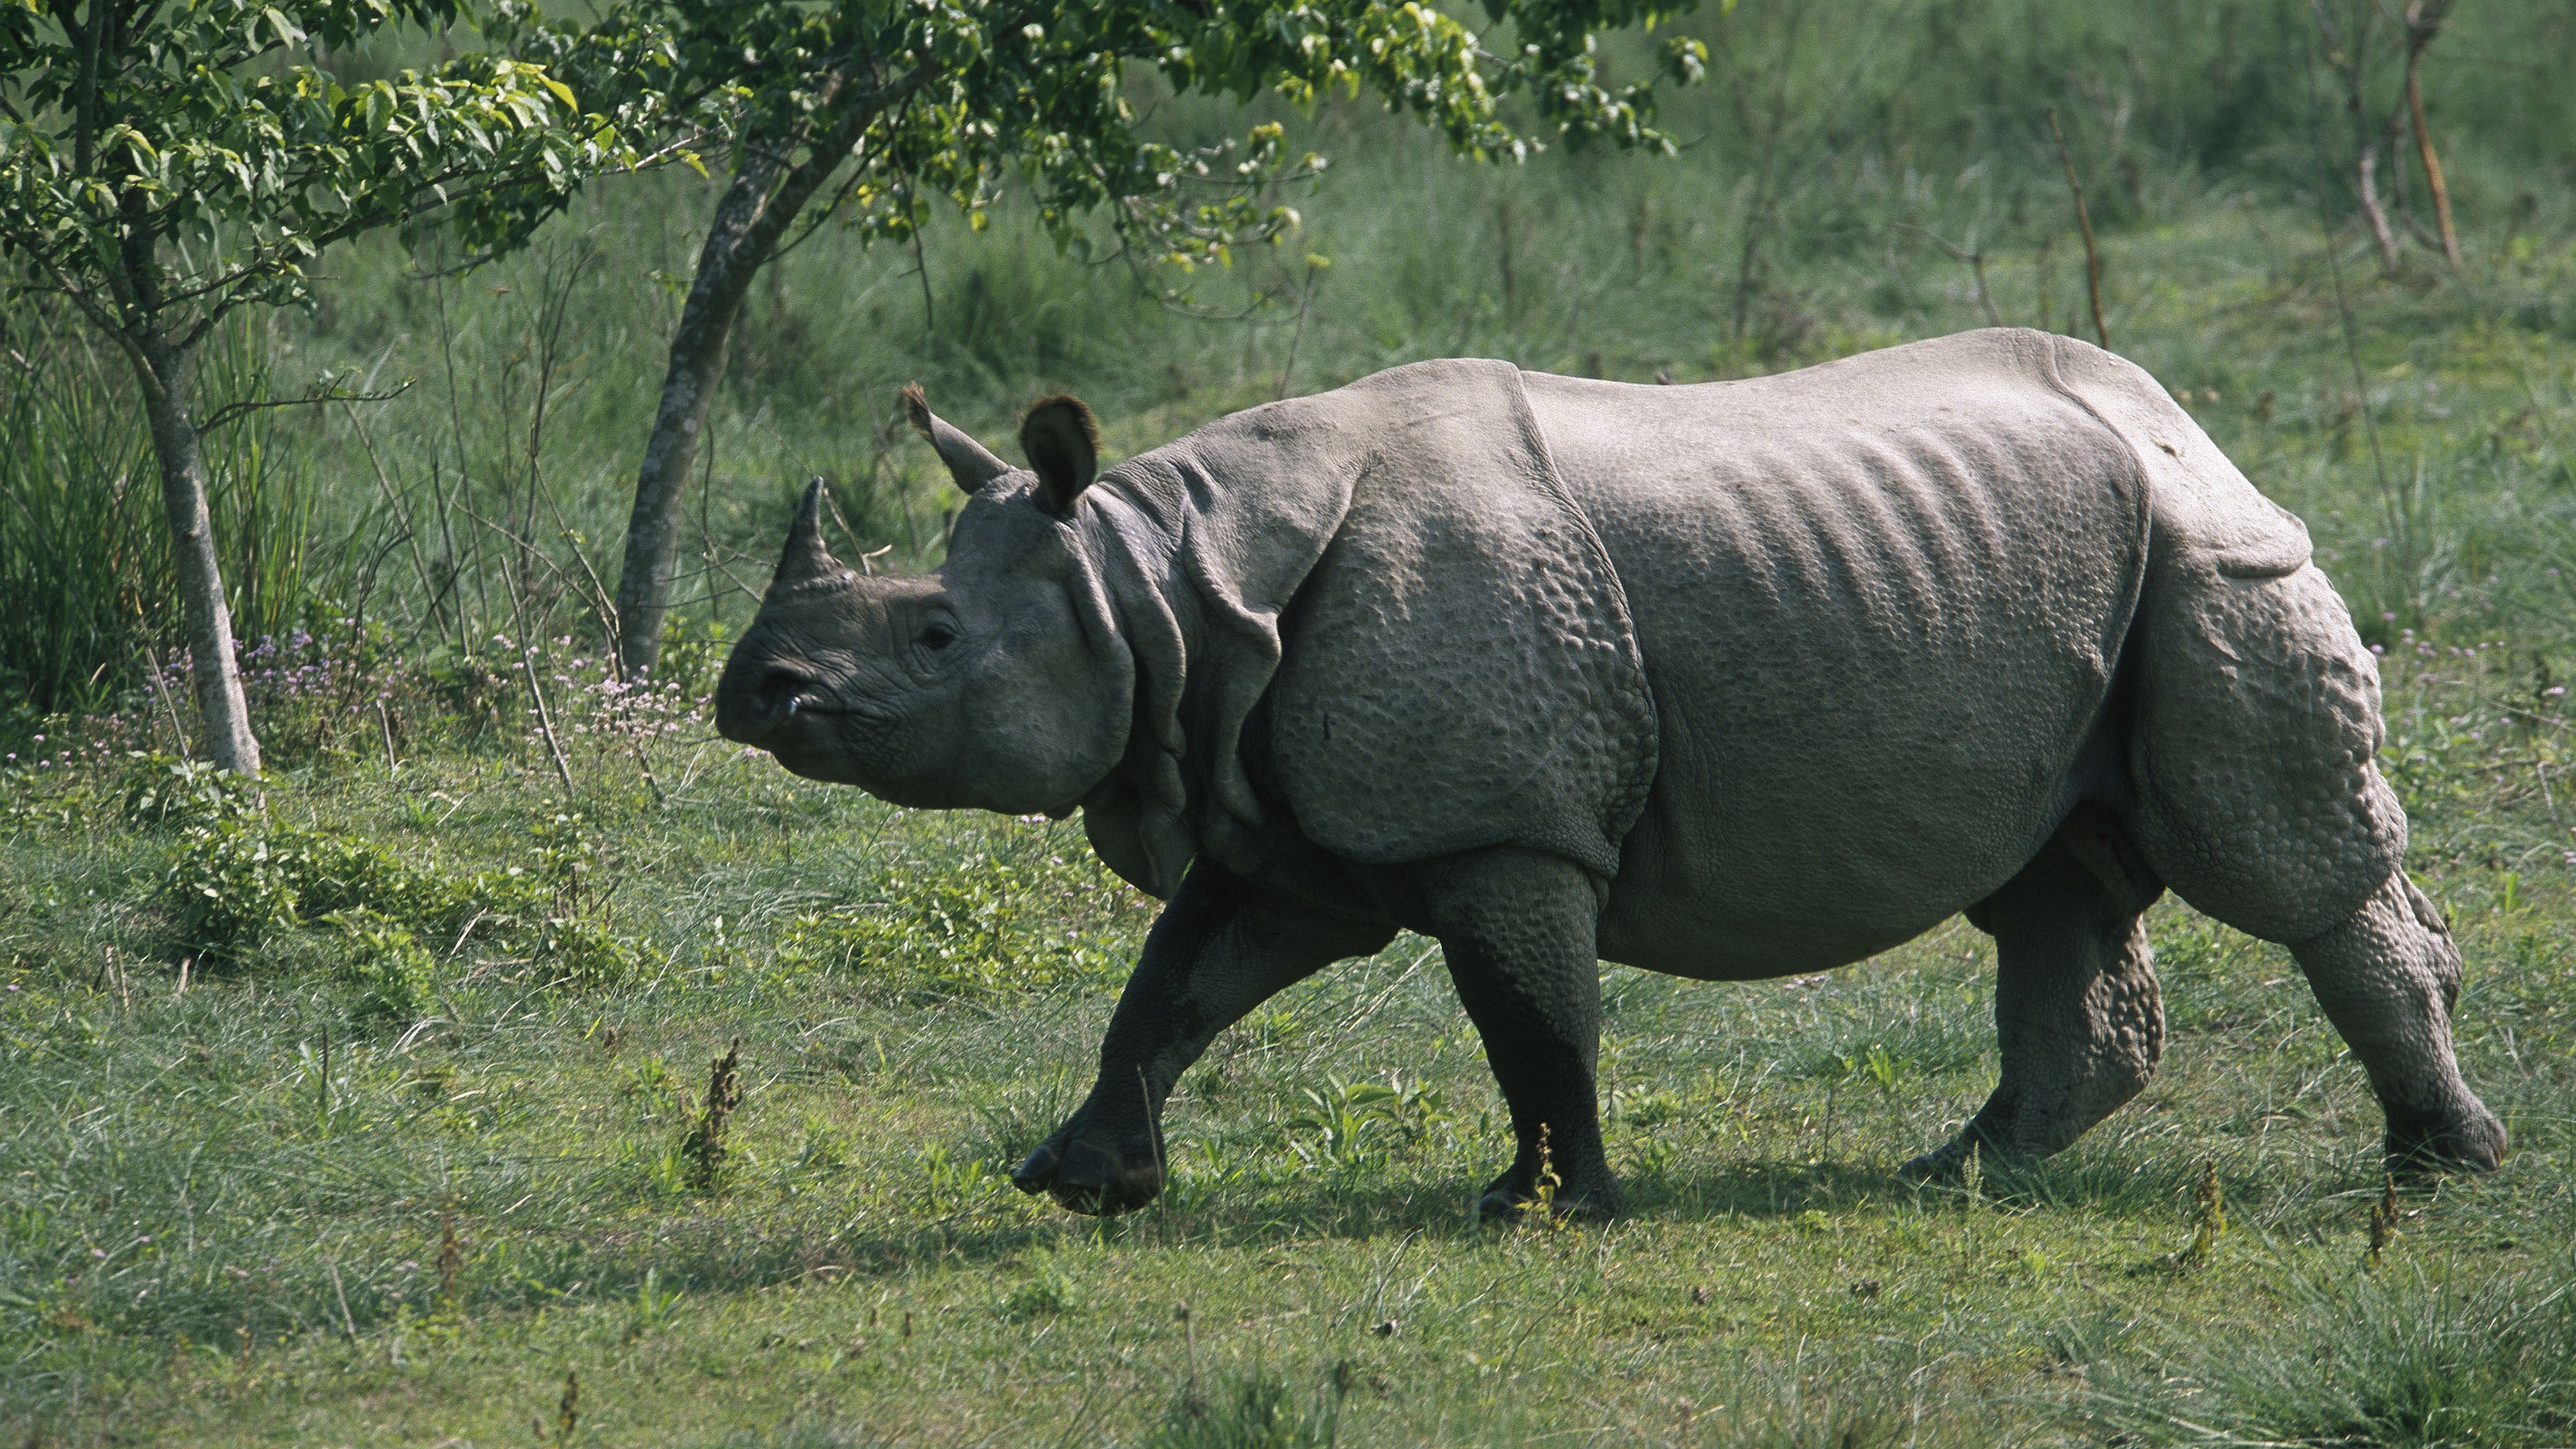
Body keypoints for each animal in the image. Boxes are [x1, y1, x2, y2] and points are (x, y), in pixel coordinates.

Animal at [715, 328, 2504, 1218]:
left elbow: (1530, 1015)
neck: (1159, 583)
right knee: (2049, 876)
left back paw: (2439, 1166)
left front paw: (1546, 1208)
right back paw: (1953, 1176)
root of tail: (2190, 420)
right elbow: (1176, 983)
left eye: (934, 634)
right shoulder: (1287, 811)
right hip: (2076, 566)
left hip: (2210, 557)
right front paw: (1082, 1185)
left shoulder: (1501, 823)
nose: (754, 691)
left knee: (2275, 867)